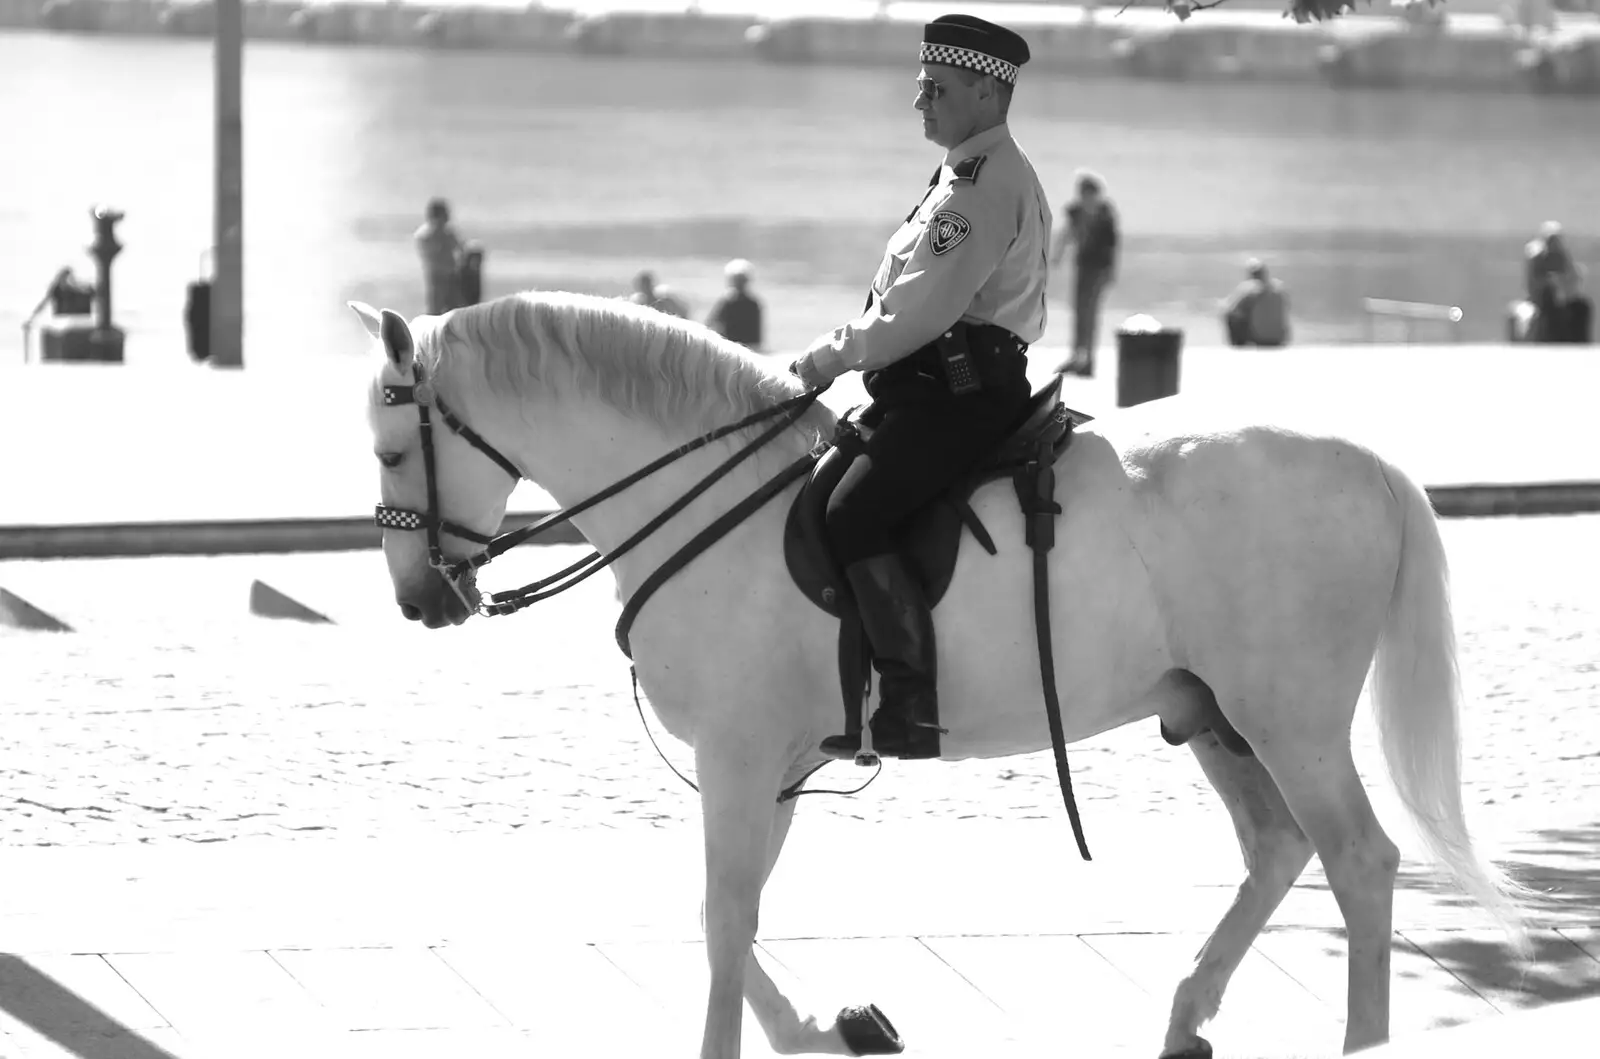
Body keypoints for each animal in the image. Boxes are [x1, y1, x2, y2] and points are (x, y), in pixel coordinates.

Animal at [356, 292, 1529, 1059]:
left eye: (387, 451)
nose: (416, 598)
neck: (709, 496)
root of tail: (1366, 461)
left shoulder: (739, 759)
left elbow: (724, 915)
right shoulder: (774, 765)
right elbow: (731, 913)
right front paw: (824, 1028)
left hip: (1289, 719)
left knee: (1360, 860)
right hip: (1212, 715)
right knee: (1279, 847)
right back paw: (1188, 1011)